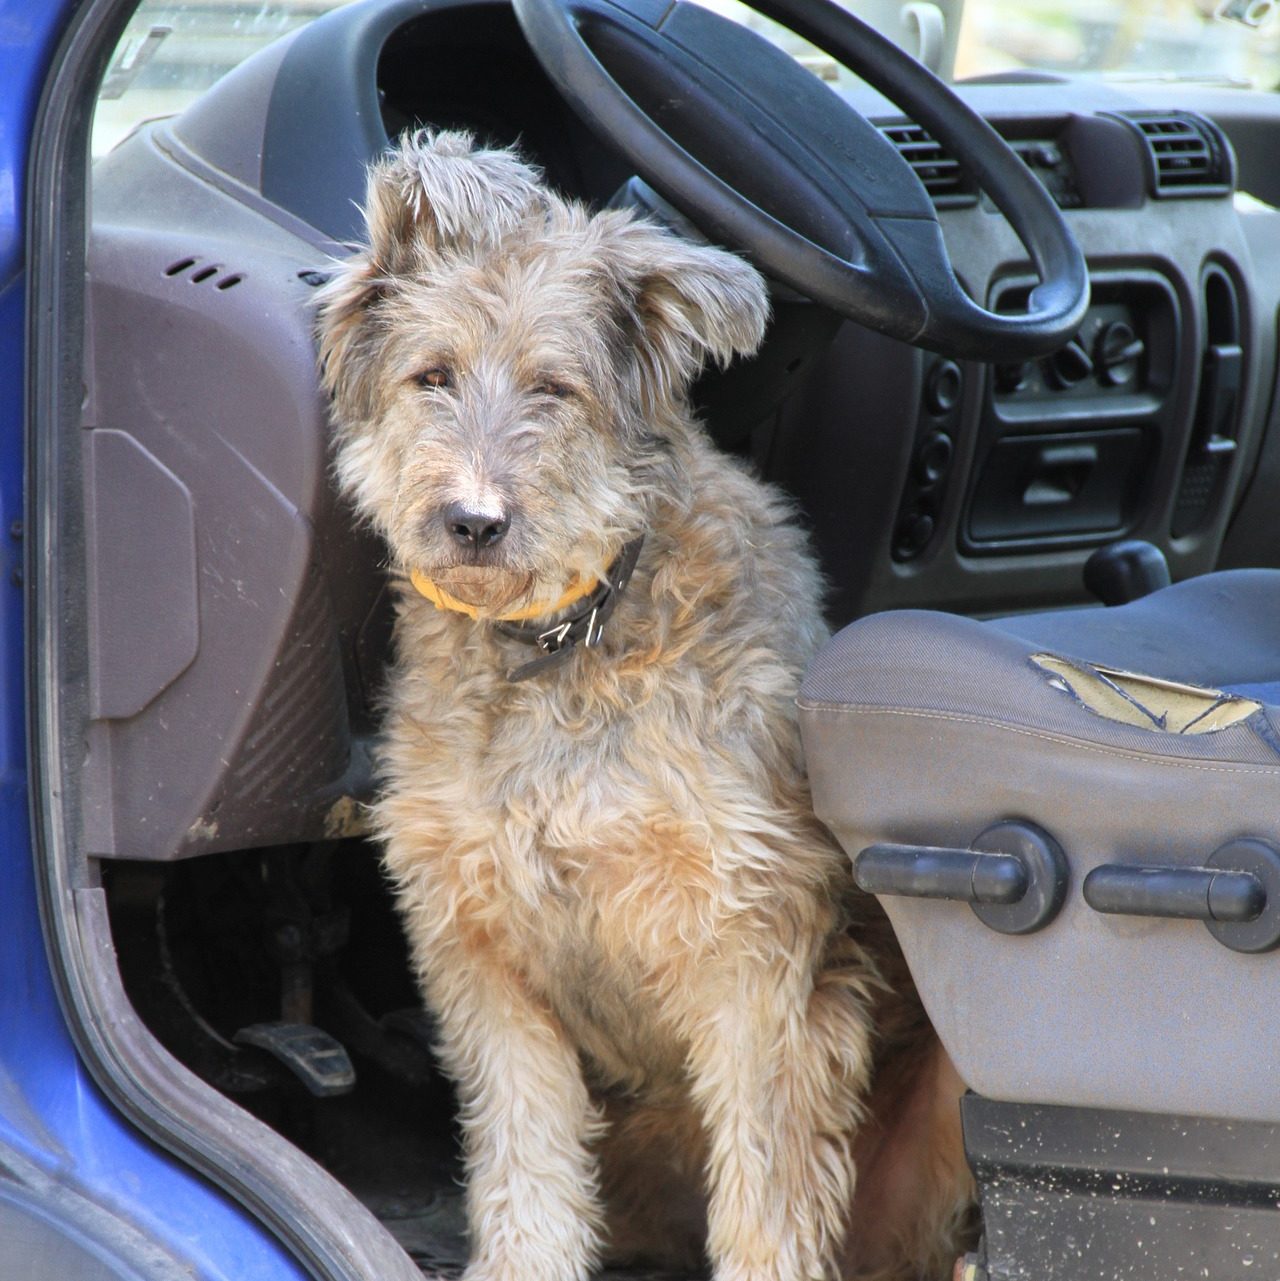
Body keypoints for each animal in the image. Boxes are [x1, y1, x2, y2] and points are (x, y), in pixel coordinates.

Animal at [317, 130, 968, 1281]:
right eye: (431, 375)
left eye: (555, 387)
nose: (471, 521)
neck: (560, 642)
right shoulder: (480, 952)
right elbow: (526, 1170)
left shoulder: (755, 949)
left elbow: (764, 1192)